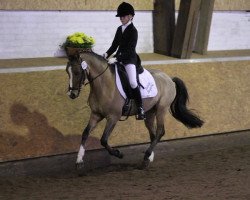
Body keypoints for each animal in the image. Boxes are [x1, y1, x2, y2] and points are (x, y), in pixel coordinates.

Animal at [65, 50, 204, 172]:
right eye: (67, 72)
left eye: (77, 72)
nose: (72, 94)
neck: (104, 85)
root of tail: (169, 78)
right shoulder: (96, 115)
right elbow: (85, 133)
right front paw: (79, 161)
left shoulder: (113, 117)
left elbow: (103, 139)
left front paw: (118, 153)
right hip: (150, 113)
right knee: (153, 135)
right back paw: (148, 159)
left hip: (161, 109)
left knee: (160, 132)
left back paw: (146, 157)